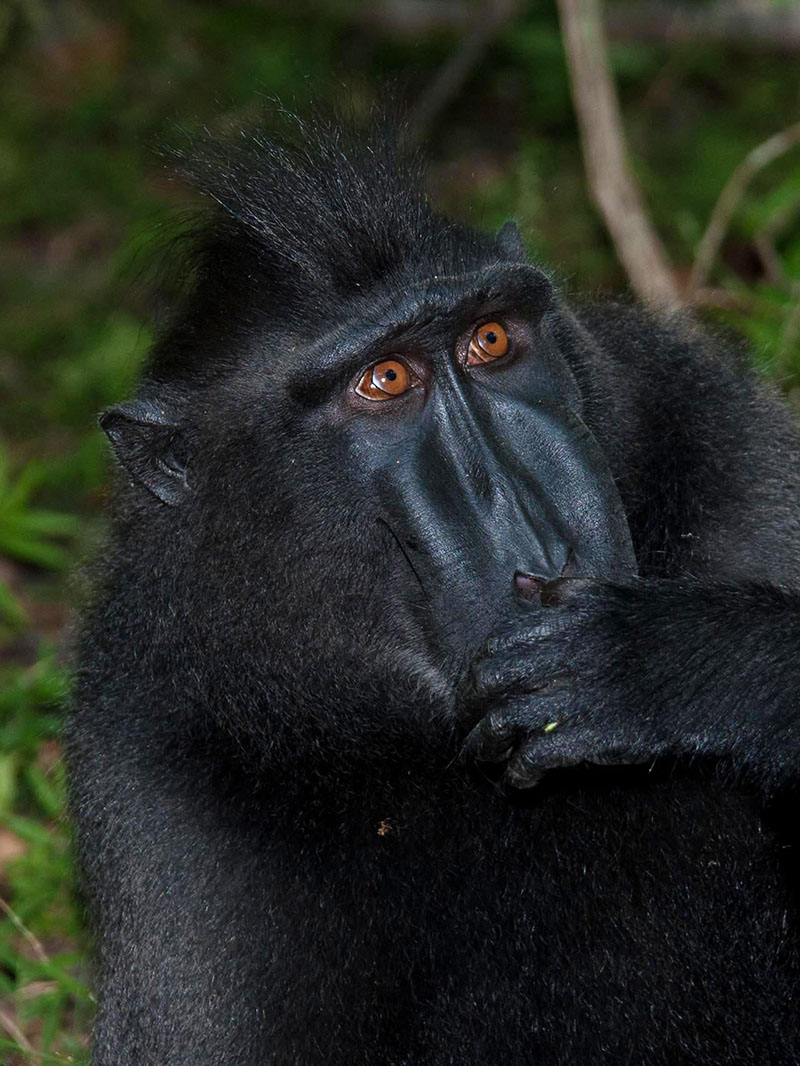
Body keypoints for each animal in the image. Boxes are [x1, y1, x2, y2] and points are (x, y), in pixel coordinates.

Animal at [68, 113, 800, 1065]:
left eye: (489, 340)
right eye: (384, 381)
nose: (548, 538)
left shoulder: (727, 451)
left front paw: (677, 665)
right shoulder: (166, 806)